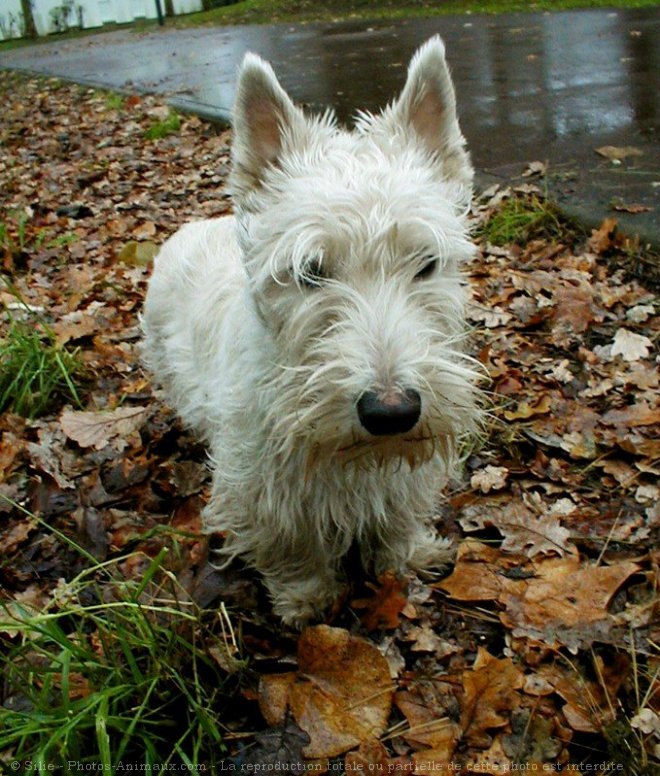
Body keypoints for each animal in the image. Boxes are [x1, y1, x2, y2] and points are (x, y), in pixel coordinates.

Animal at [143, 36, 480, 628]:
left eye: (426, 263)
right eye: (310, 271)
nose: (391, 412)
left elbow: (398, 516)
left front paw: (406, 554)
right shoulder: (257, 483)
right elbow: (288, 542)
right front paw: (305, 594)